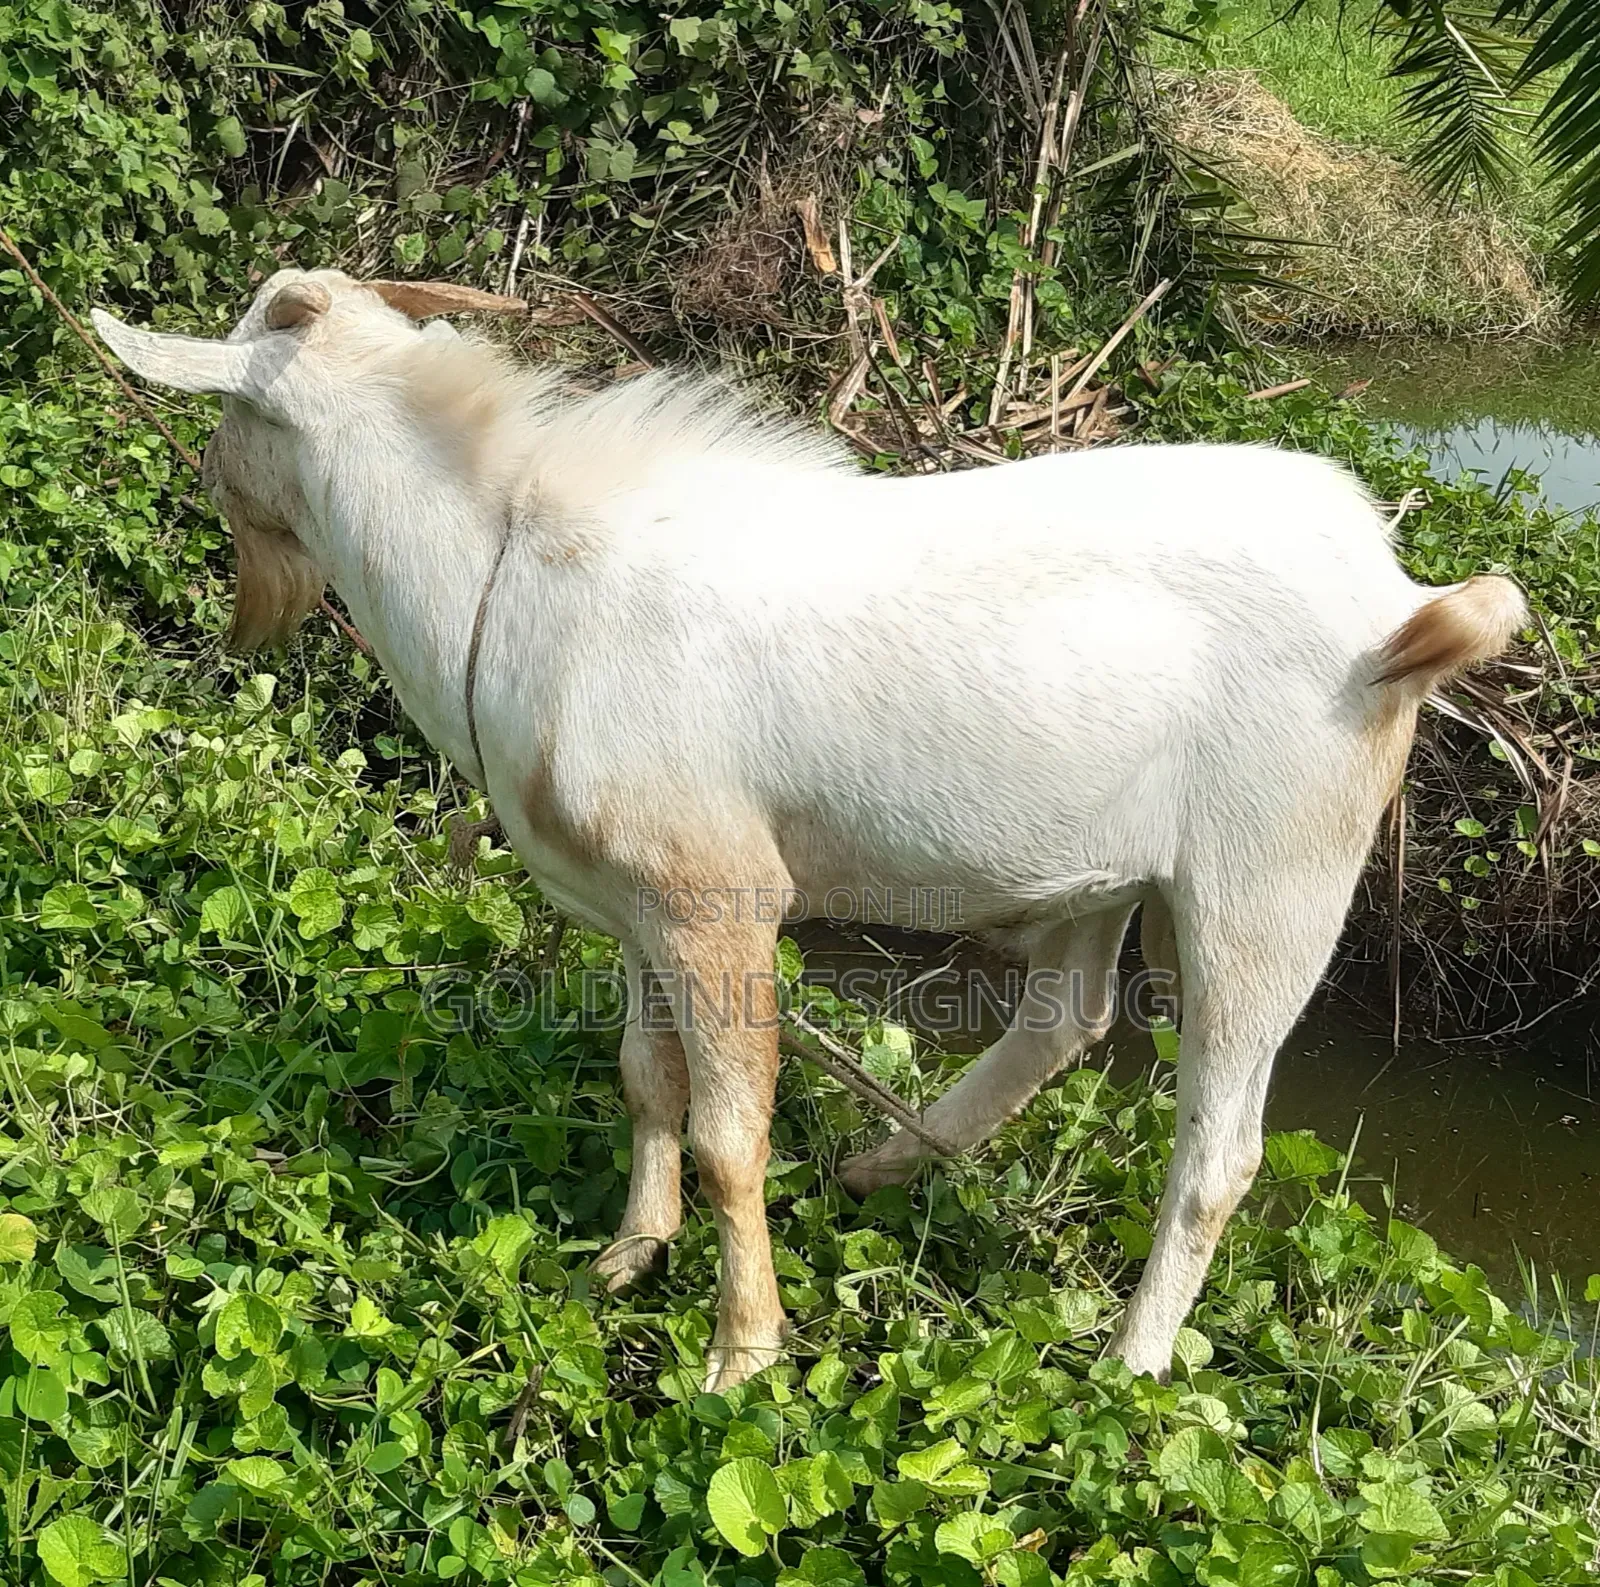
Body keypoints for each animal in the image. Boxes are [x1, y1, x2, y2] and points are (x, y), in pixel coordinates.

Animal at [94, 269, 1526, 1391]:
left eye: (224, 420)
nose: (219, 533)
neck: (504, 571)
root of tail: (1399, 604)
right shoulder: (636, 907)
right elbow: (646, 1080)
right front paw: (626, 1256)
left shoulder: (716, 894)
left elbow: (731, 1137)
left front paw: (740, 1355)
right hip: (1103, 869)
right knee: (1063, 1020)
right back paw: (885, 1166)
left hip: (1271, 874)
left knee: (1214, 1146)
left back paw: (1126, 1363)